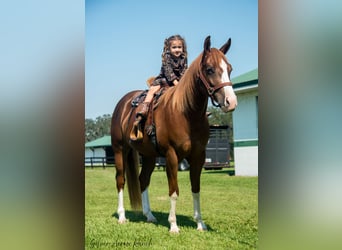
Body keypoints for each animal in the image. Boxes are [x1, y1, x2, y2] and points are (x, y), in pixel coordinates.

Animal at [111, 35, 236, 232]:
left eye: (229, 69)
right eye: (209, 69)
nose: (231, 102)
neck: (185, 113)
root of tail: (122, 104)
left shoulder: (198, 156)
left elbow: (196, 189)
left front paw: (200, 224)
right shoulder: (171, 155)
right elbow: (174, 191)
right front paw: (173, 225)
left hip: (149, 156)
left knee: (143, 180)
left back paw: (149, 215)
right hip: (119, 150)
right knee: (120, 180)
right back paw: (122, 216)